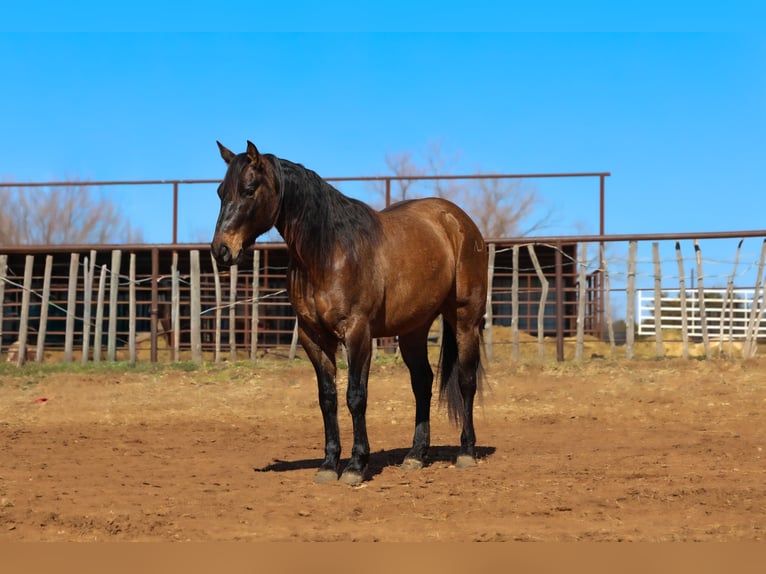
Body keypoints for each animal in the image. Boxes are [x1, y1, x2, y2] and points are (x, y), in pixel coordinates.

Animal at [211, 141, 488, 485]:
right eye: (221, 192)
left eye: (249, 190)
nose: (221, 250)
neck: (329, 253)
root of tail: (459, 222)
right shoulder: (313, 337)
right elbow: (327, 398)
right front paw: (329, 464)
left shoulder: (357, 333)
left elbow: (356, 396)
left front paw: (356, 465)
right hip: (414, 329)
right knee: (422, 382)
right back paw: (415, 455)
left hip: (465, 321)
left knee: (466, 381)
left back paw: (466, 452)